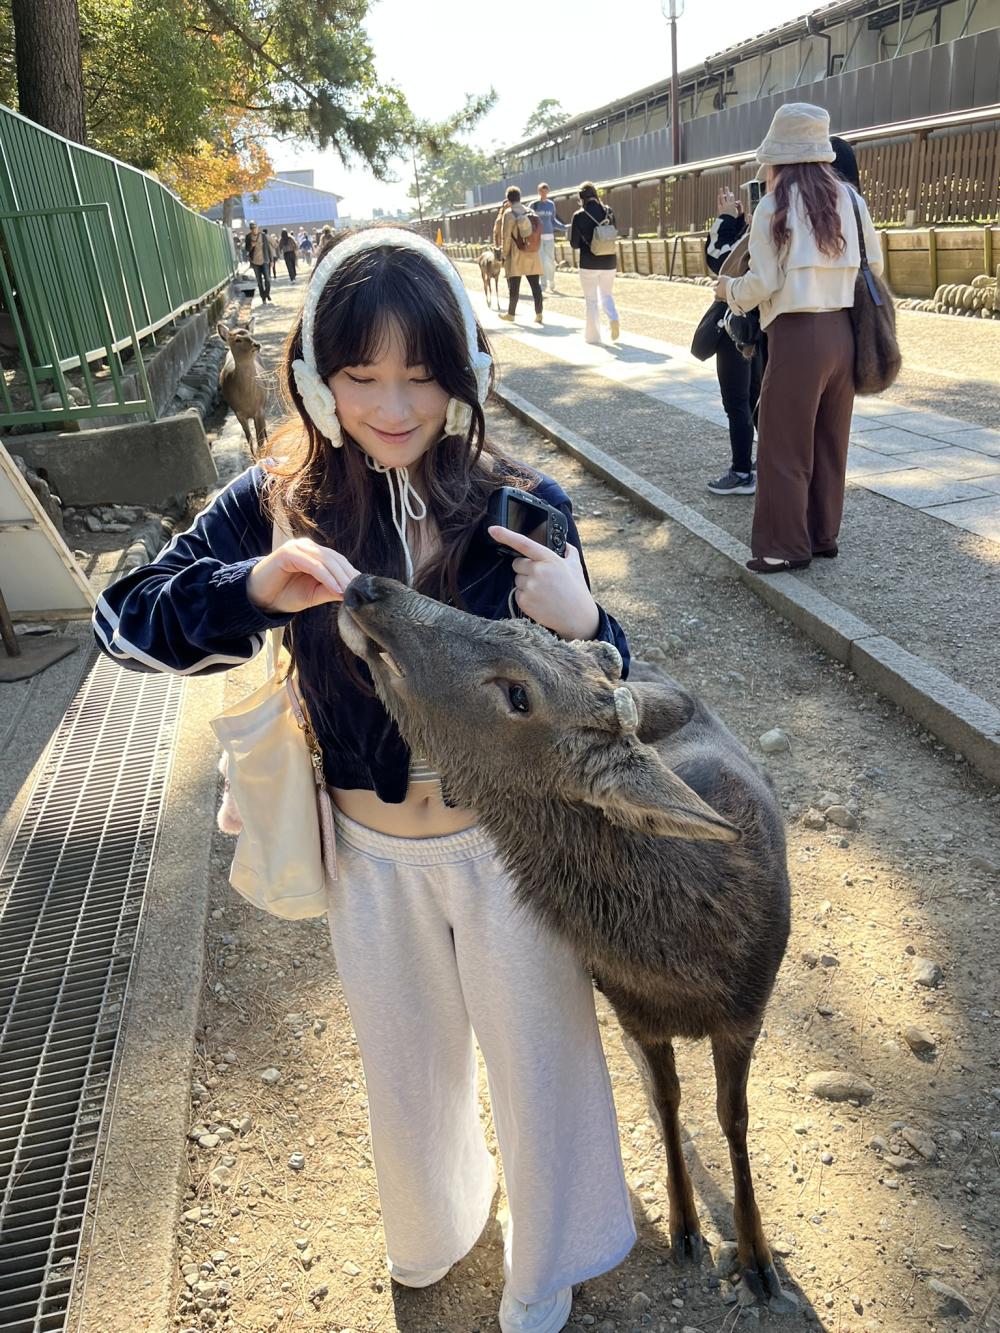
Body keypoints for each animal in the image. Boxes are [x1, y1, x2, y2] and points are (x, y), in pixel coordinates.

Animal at [218, 319, 267, 450]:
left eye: (251, 335)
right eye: (237, 340)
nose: (257, 344)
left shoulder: (259, 409)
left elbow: (260, 439)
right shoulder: (238, 413)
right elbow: (250, 440)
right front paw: (256, 455)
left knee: (264, 430)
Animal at [338, 575, 794, 1313]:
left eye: (519, 694)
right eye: (513, 623)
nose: (366, 585)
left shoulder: (747, 1015)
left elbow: (734, 1118)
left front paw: (757, 1258)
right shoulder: (634, 1013)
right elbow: (669, 1101)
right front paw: (684, 1228)